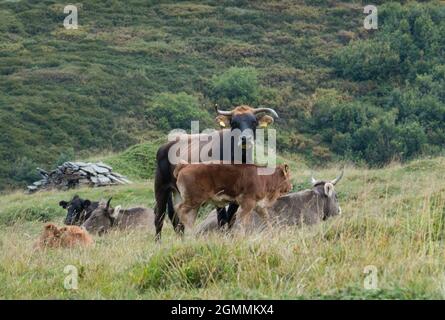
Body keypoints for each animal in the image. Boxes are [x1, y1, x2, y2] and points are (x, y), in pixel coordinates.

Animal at [153, 104, 278, 239]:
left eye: (254, 122)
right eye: (234, 123)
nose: (246, 139)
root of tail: (165, 145)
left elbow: (231, 218)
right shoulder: (218, 194)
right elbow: (222, 219)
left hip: (180, 193)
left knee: (177, 218)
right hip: (161, 186)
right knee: (159, 216)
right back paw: (158, 241)